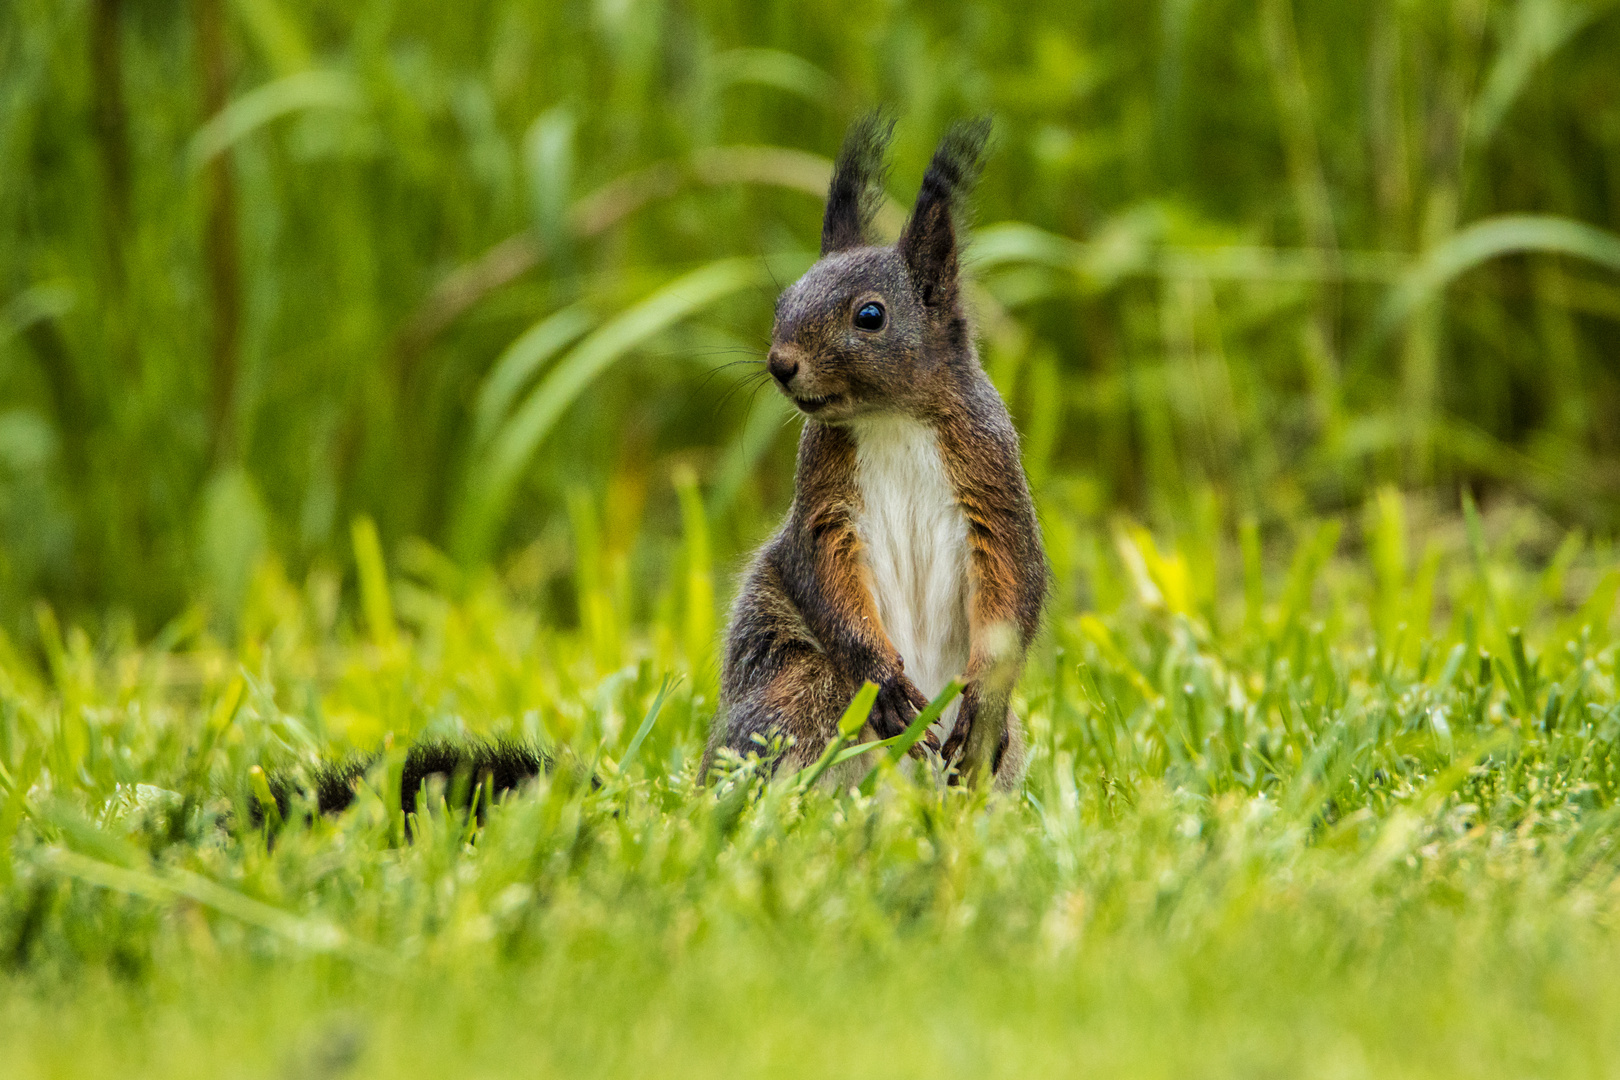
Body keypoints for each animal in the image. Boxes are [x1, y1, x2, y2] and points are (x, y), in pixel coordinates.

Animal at [706, 118, 1049, 790]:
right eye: (783, 302)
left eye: (870, 315)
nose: (780, 364)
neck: (891, 418)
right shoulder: (823, 500)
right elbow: (823, 575)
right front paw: (884, 678)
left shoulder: (993, 479)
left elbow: (1013, 579)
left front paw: (983, 698)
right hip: (796, 689)